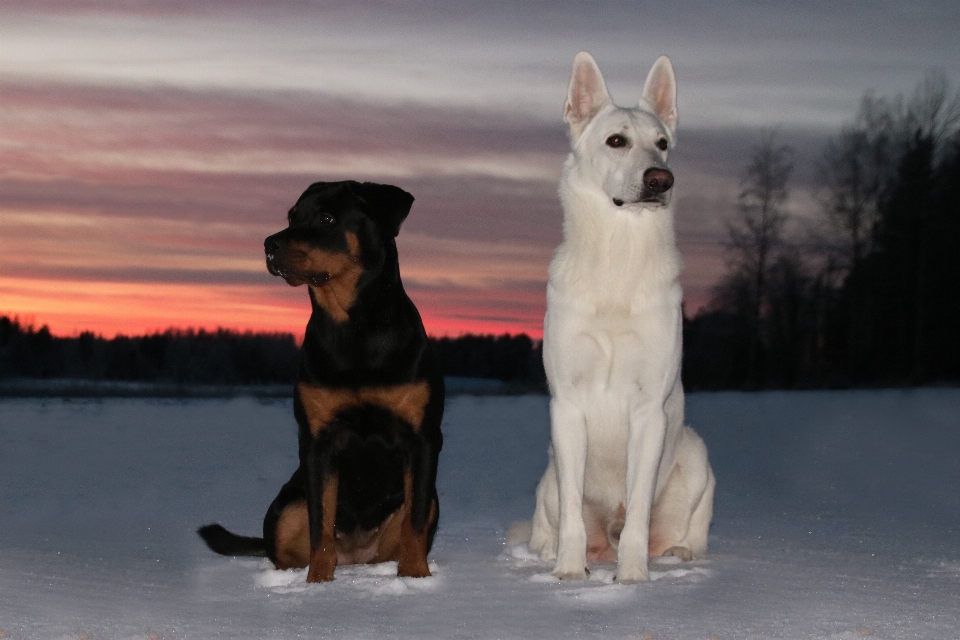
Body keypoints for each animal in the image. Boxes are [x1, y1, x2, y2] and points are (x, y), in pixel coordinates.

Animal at [202, 181, 446, 584]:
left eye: (327, 218)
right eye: (291, 217)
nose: (269, 244)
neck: (353, 328)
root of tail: (356, 556)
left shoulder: (422, 437)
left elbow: (414, 523)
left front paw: (415, 577)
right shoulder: (317, 440)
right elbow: (321, 522)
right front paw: (317, 585)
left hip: (431, 503)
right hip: (286, 505)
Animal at [524, 52, 712, 584]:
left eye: (663, 144)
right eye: (616, 141)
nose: (661, 179)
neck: (618, 256)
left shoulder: (649, 411)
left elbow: (639, 515)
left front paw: (632, 580)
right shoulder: (567, 406)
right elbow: (571, 517)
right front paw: (569, 574)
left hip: (696, 454)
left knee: (682, 532)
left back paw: (679, 555)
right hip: (547, 477)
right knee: (549, 523)